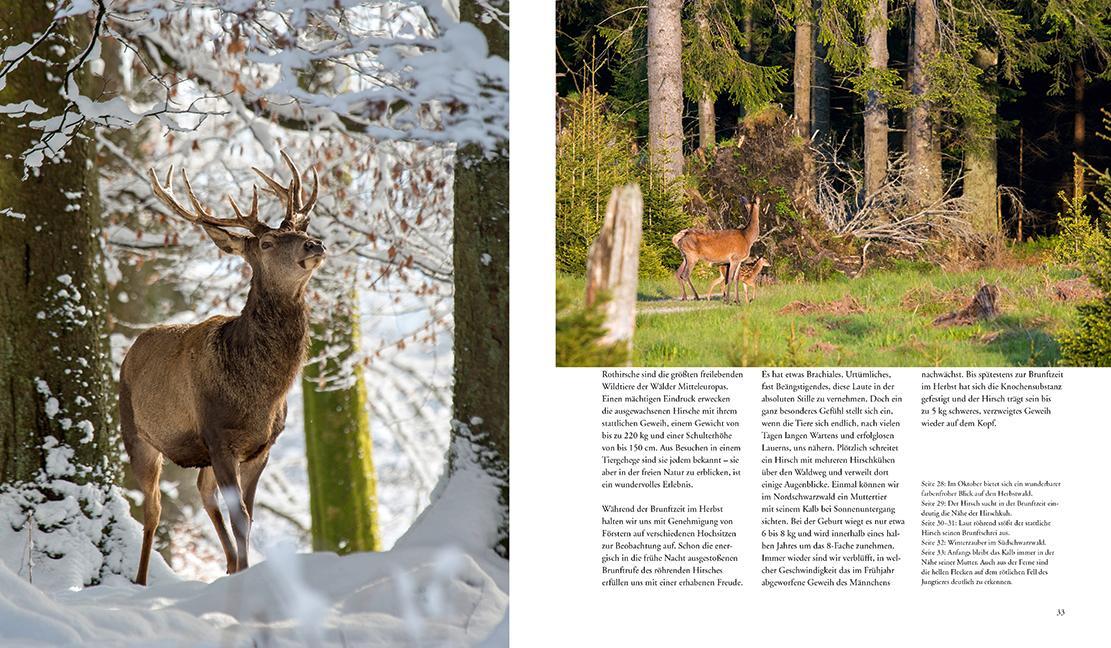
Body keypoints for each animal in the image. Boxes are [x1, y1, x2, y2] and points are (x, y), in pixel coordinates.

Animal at [121, 153, 324, 586]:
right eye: (266, 242)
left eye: (301, 229)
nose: (314, 244)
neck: (260, 394)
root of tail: (132, 349)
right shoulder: (218, 435)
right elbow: (241, 516)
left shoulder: (261, 447)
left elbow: (248, 515)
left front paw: (243, 571)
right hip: (135, 431)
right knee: (152, 510)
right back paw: (141, 580)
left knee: (202, 490)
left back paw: (228, 565)